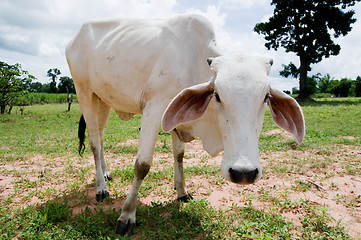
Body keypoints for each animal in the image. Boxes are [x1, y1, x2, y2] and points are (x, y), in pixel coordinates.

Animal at [65, 13, 304, 234]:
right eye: (217, 95)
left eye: (266, 97)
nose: (243, 172)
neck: (193, 60)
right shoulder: (154, 108)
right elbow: (142, 165)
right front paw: (127, 214)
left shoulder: (175, 115)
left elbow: (179, 155)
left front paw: (181, 192)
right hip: (83, 93)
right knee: (94, 143)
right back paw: (101, 188)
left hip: (102, 100)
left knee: (100, 137)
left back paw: (106, 173)